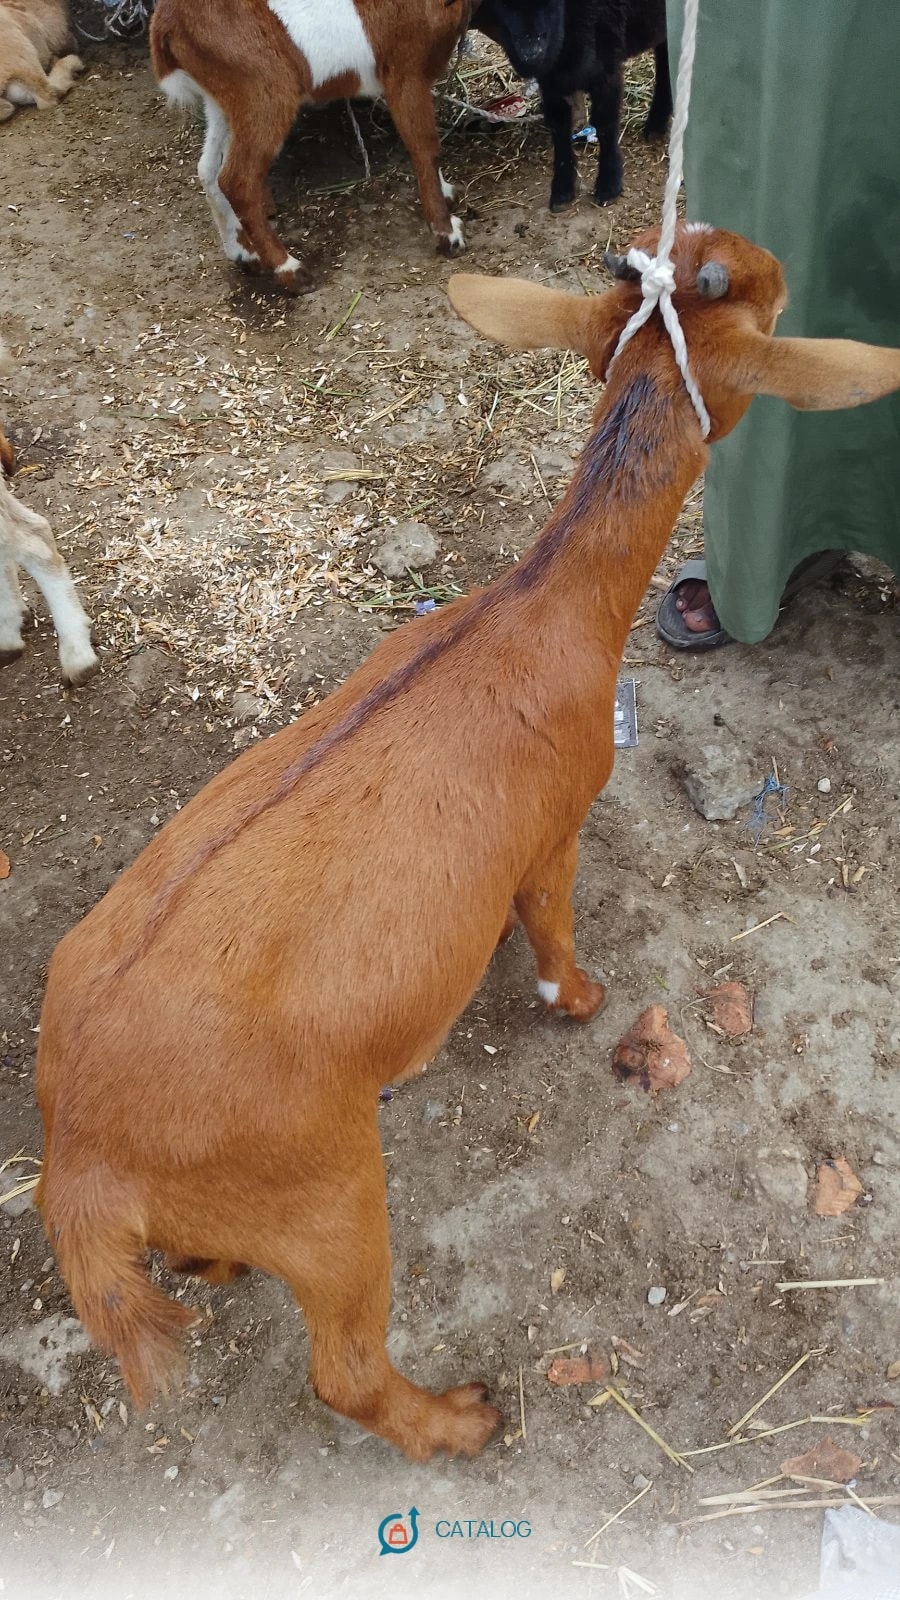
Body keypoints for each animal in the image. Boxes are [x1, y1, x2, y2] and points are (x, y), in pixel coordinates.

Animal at [35, 225, 900, 1461]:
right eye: (761, 290)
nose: (776, 259)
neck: (539, 610)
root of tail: (81, 1158)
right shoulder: (555, 828)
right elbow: (552, 932)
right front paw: (582, 1000)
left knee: (204, 1262)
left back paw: (215, 1265)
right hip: (326, 1192)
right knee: (345, 1369)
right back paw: (458, 1419)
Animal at [150, 0, 473, 293]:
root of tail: (166, 21)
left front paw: (448, 193)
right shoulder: (404, 69)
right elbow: (424, 144)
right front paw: (448, 235)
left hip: (224, 98)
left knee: (209, 170)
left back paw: (245, 254)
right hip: (264, 91)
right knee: (238, 180)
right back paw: (291, 271)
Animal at [474, 0, 670, 210]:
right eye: (501, 5)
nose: (530, 53)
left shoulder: (607, 65)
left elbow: (605, 124)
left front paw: (609, 186)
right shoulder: (551, 80)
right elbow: (559, 127)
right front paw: (562, 189)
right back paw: (656, 126)